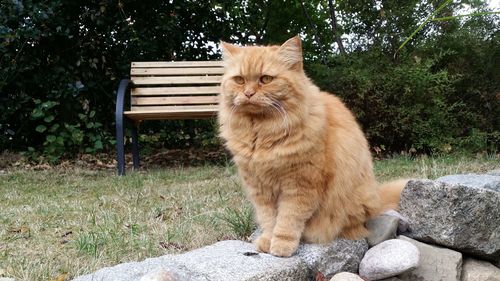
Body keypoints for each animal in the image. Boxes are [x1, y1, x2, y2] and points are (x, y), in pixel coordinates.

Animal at [217, 36, 408, 258]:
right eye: (239, 80)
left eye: (265, 79)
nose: (248, 93)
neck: (262, 134)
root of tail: (377, 196)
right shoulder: (259, 188)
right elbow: (269, 220)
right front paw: (267, 241)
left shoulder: (300, 184)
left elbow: (287, 220)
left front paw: (281, 246)